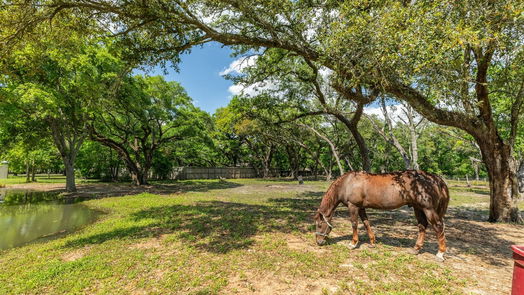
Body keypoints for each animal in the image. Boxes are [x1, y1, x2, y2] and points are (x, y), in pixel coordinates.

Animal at [314, 171, 448, 262]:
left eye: (320, 224)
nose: (319, 242)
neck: (348, 183)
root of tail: (435, 179)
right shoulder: (361, 208)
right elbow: (366, 223)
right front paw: (372, 242)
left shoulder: (353, 206)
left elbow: (354, 224)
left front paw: (353, 243)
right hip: (418, 208)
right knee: (422, 226)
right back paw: (416, 249)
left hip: (428, 209)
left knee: (438, 226)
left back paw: (440, 253)